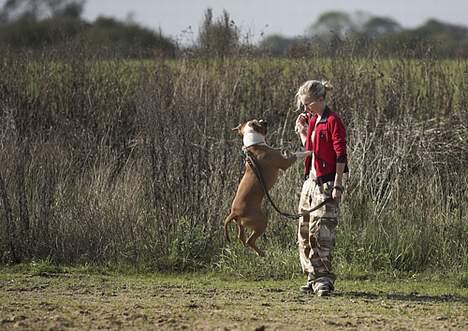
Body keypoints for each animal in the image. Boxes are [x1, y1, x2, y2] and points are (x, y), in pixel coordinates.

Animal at [225, 118, 308, 256]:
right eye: (260, 122)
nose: (264, 120)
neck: (254, 145)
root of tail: (234, 213)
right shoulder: (285, 163)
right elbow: (297, 154)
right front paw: (308, 152)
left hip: (241, 224)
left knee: (242, 237)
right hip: (261, 222)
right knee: (250, 240)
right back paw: (262, 253)